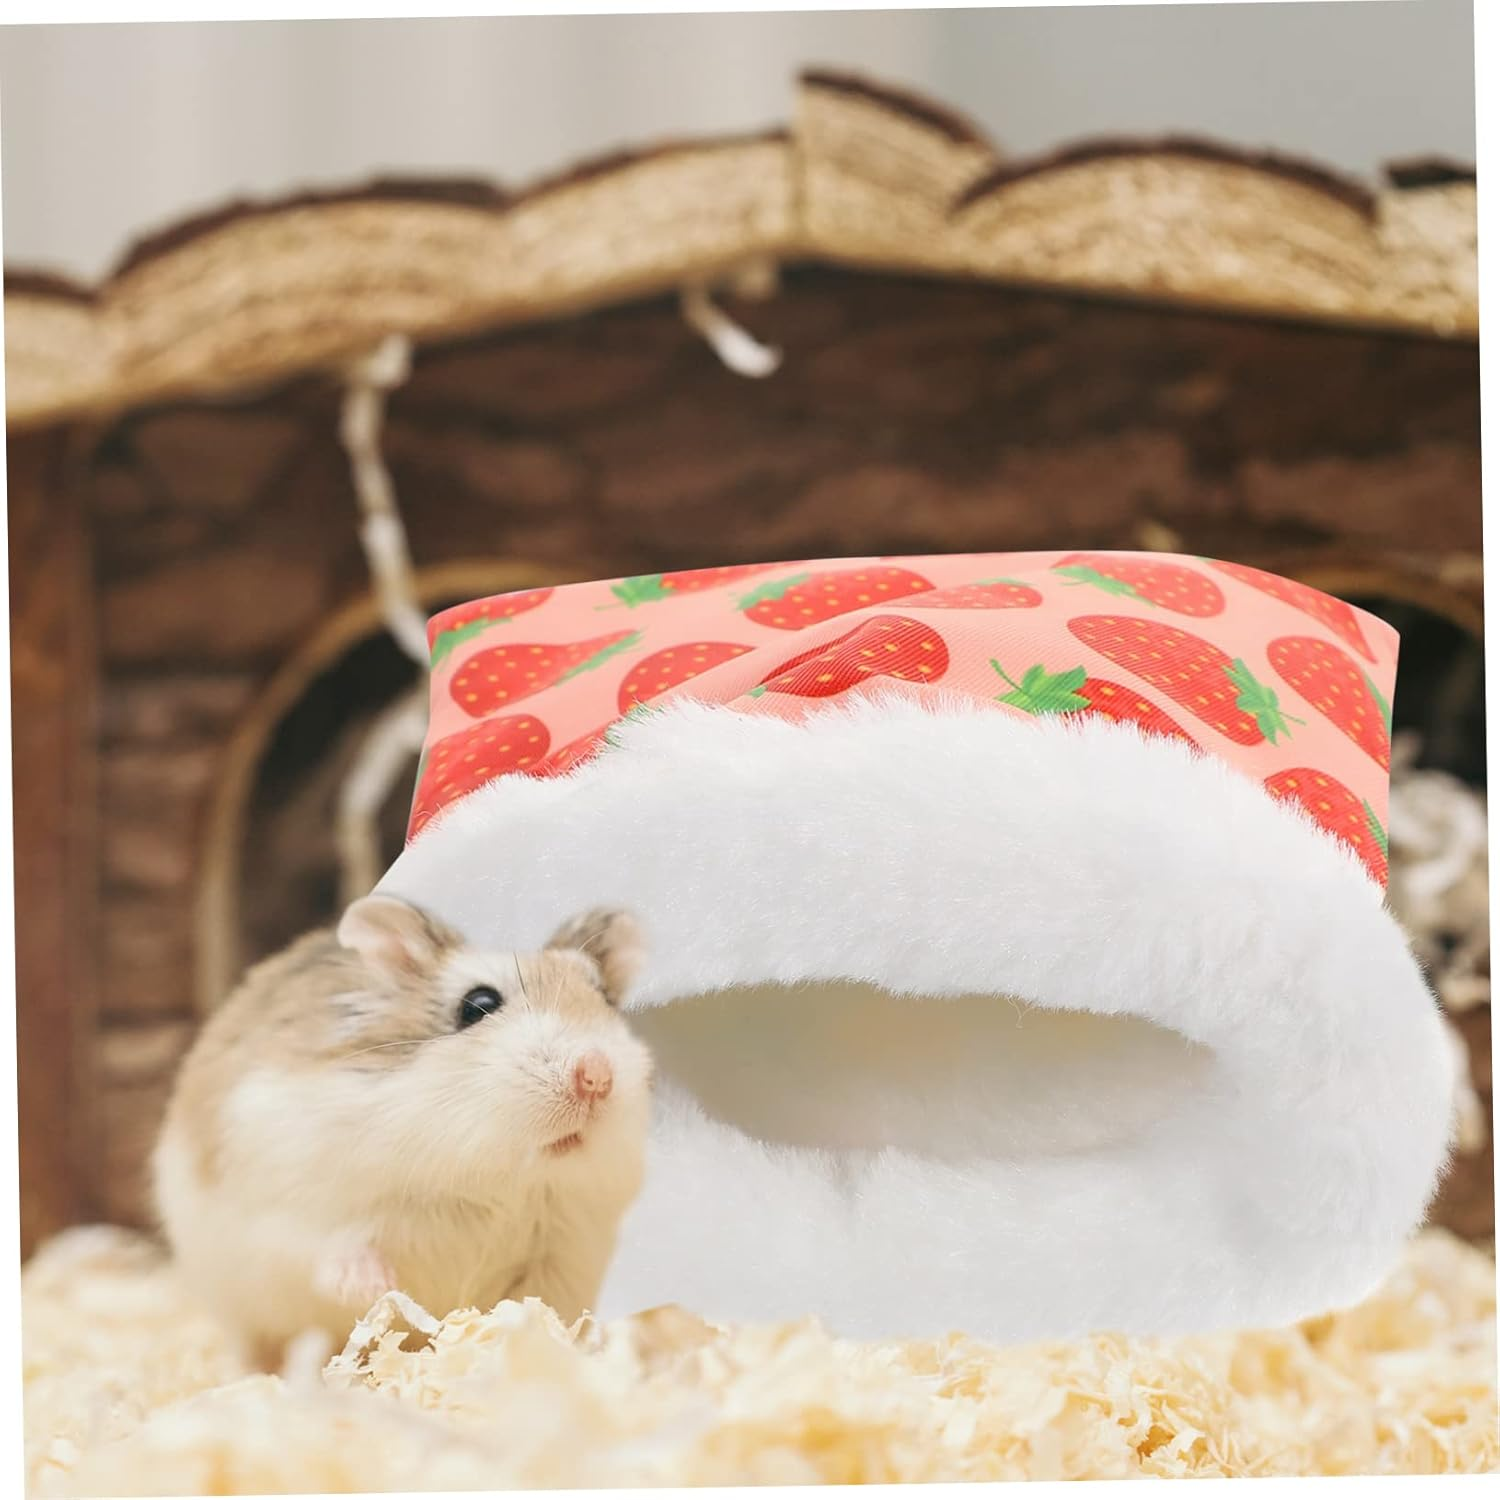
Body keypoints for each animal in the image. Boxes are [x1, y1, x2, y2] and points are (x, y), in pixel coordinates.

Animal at [151, 896, 654, 1370]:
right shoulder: (296, 1208)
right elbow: (335, 1249)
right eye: (479, 1005)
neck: (492, 1175)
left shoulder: (563, 1254)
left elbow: (537, 1309)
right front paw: (378, 1288)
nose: (596, 1076)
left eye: (605, 1000)